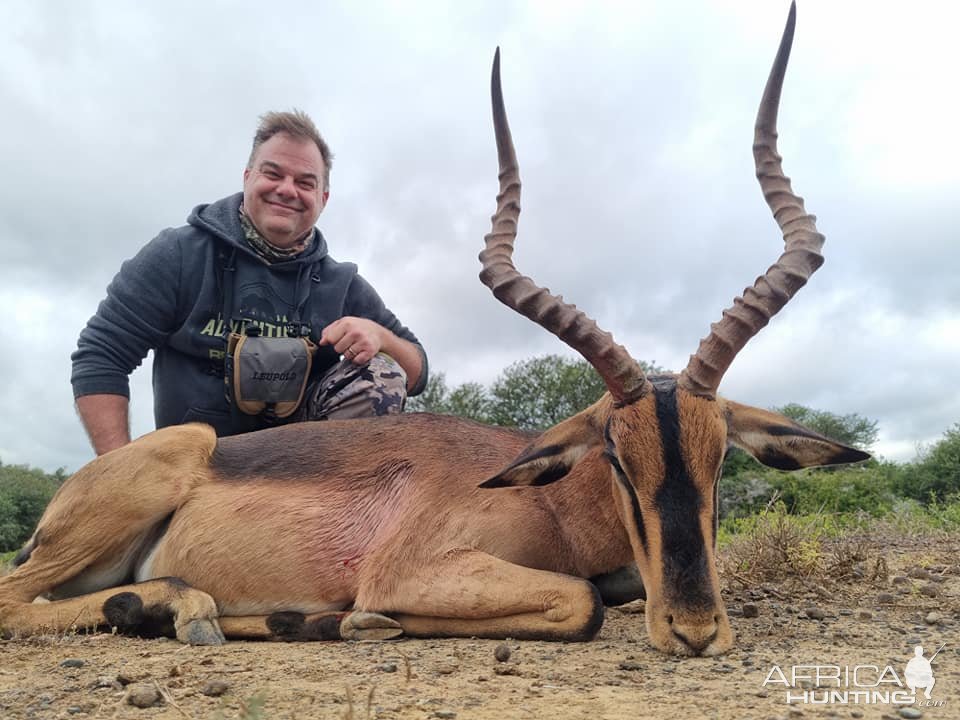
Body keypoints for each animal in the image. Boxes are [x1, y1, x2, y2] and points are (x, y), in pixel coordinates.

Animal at [0, 2, 868, 656]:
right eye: (620, 461)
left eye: (721, 459)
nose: (694, 629)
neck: (553, 503)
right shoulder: (413, 568)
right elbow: (581, 602)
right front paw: (358, 619)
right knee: (14, 599)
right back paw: (209, 612)